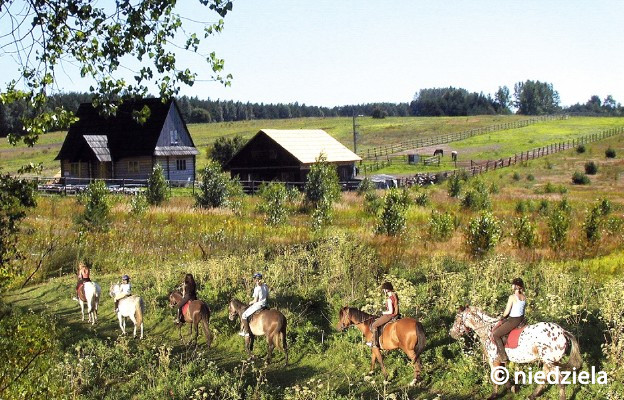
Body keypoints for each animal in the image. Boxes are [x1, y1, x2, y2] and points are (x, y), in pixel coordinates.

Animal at [450, 304, 584, 398]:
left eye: (457, 319)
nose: (451, 334)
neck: (487, 331)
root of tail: (562, 332)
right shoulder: (501, 360)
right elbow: (503, 375)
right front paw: (513, 388)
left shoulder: (493, 361)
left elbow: (496, 377)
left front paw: (493, 395)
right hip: (547, 362)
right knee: (544, 378)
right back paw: (532, 395)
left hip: (551, 362)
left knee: (560, 382)